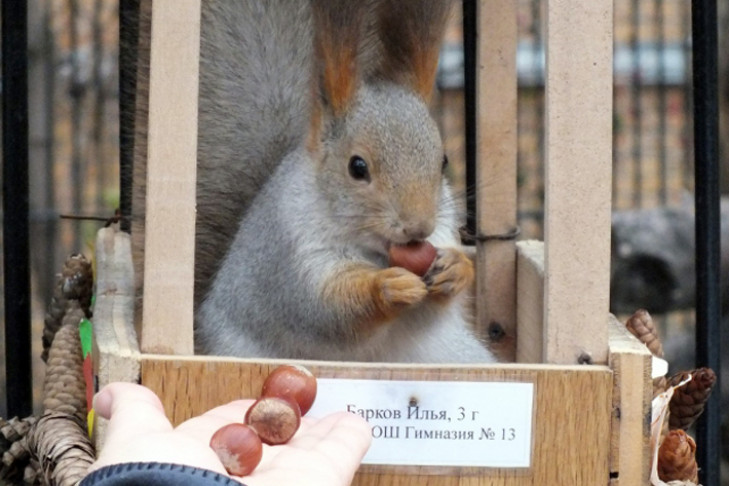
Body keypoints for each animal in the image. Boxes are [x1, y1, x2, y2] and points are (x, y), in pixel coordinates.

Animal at [129, 0, 494, 364]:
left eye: (443, 161)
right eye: (357, 167)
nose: (418, 227)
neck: (375, 251)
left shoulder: (443, 233)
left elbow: (435, 309)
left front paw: (456, 269)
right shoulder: (291, 257)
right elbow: (326, 309)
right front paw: (387, 287)